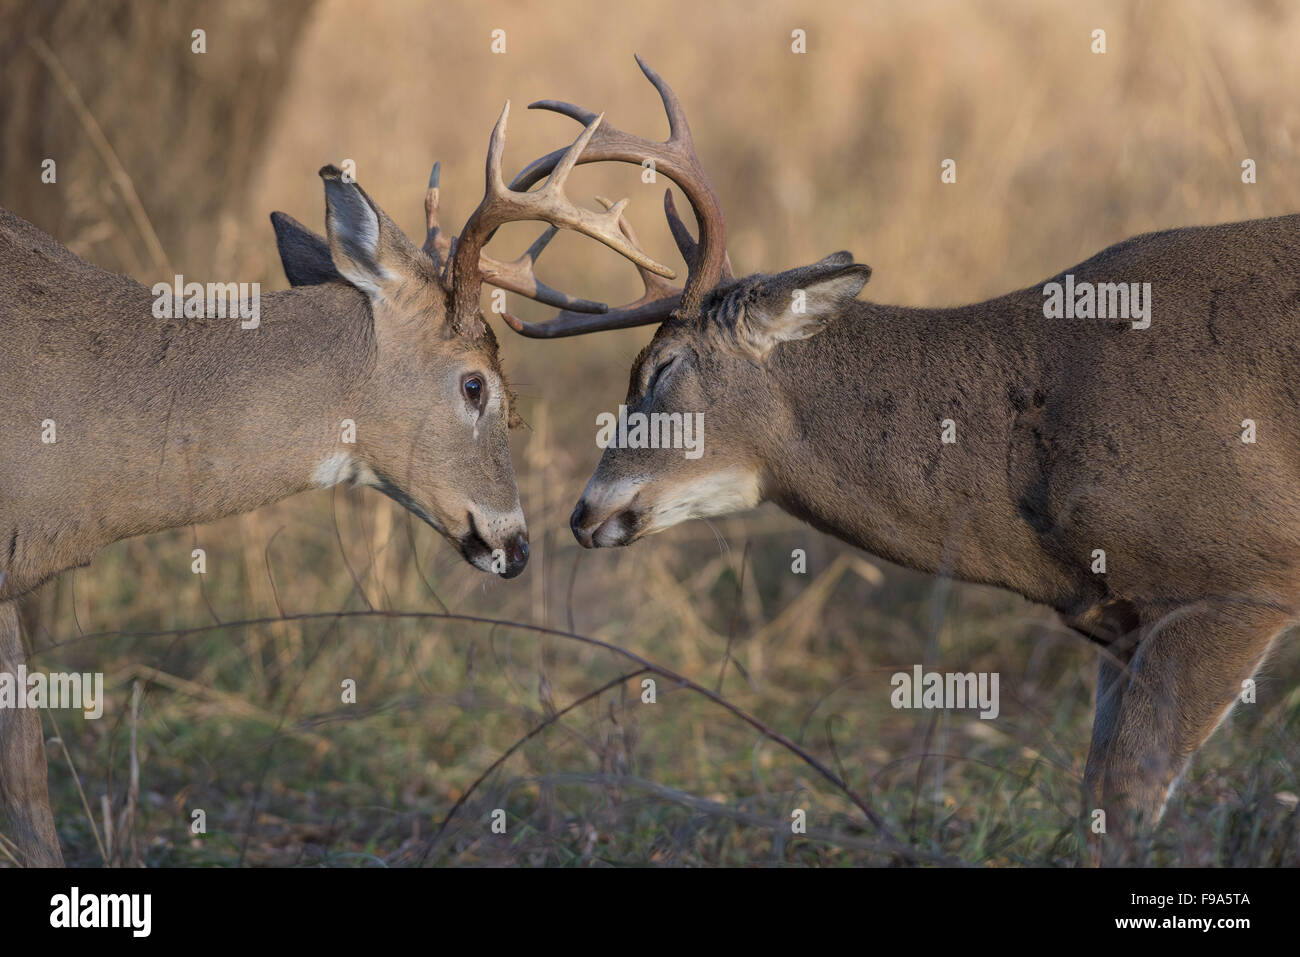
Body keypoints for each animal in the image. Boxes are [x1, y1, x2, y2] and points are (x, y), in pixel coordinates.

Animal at [502, 59, 1300, 862]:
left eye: (659, 368)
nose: (582, 512)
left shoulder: (1232, 582)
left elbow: (1127, 798)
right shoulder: (1122, 620)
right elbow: (1097, 793)